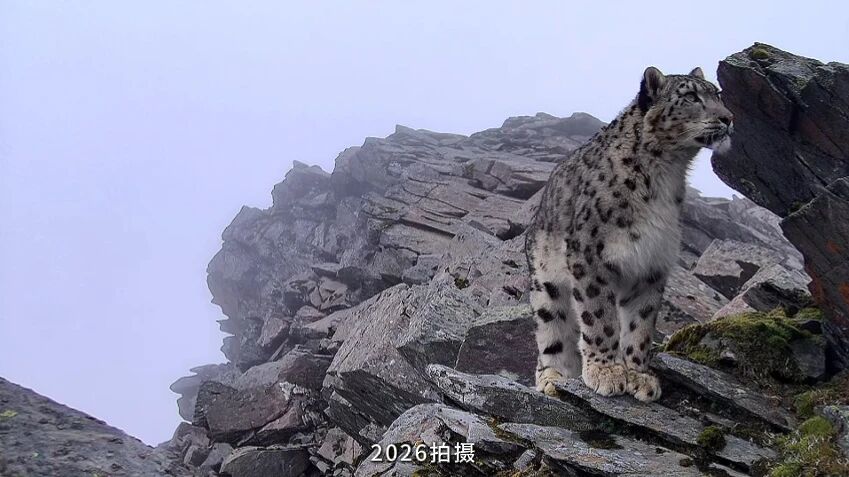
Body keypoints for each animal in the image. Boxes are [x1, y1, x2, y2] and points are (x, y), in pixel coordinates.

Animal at [525, 66, 733, 402]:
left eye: (718, 94)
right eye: (690, 96)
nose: (728, 118)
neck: (665, 176)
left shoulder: (652, 264)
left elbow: (640, 326)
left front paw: (639, 376)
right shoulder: (591, 257)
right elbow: (600, 318)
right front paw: (606, 372)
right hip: (547, 285)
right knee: (552, 333)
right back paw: (553, 378)